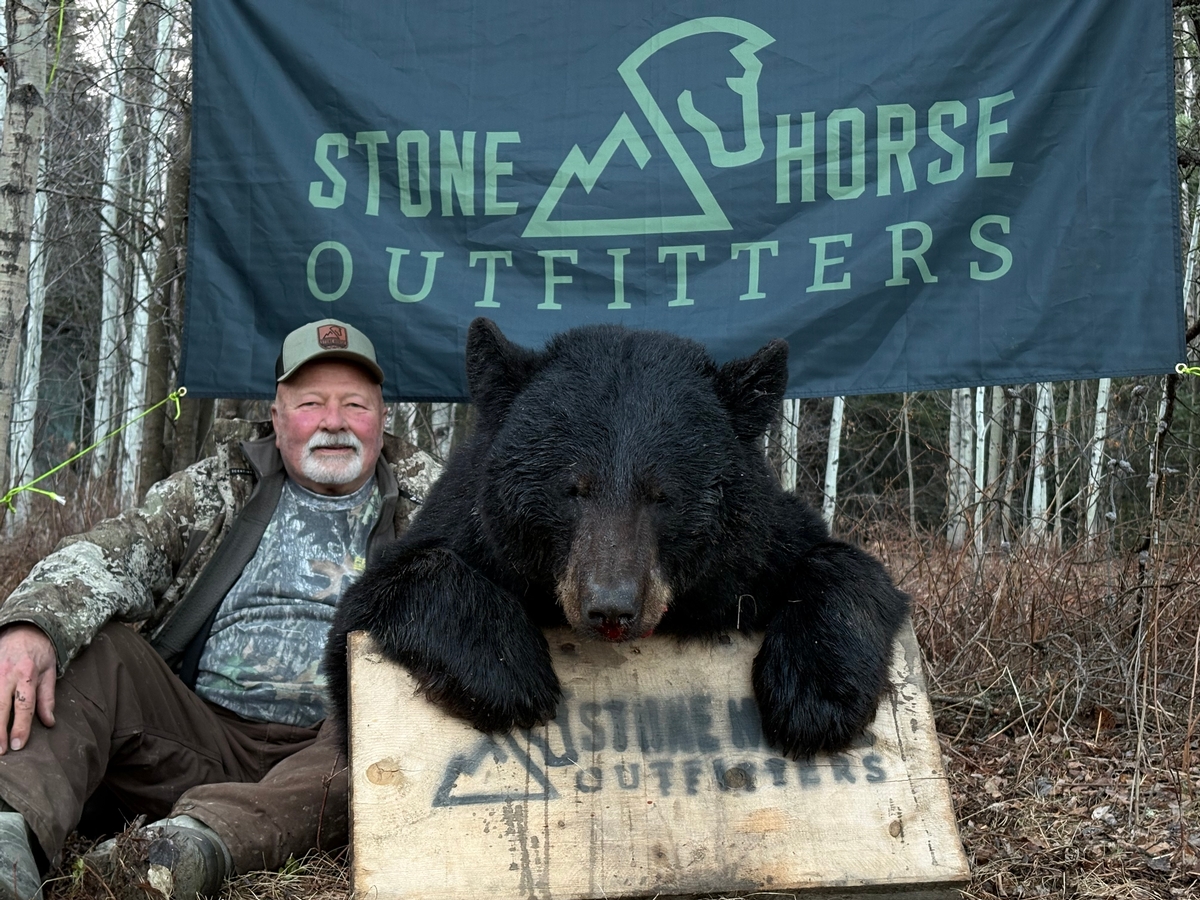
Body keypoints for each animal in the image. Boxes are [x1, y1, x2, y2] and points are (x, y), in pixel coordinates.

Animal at [325, 318, 909, 757]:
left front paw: (815, 696)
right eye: (573, 488)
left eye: (662, 494)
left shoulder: (755, 549)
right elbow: (377, 596)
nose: (611, 608)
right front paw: (506, 669)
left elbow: (844, 562)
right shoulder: (470, 525)